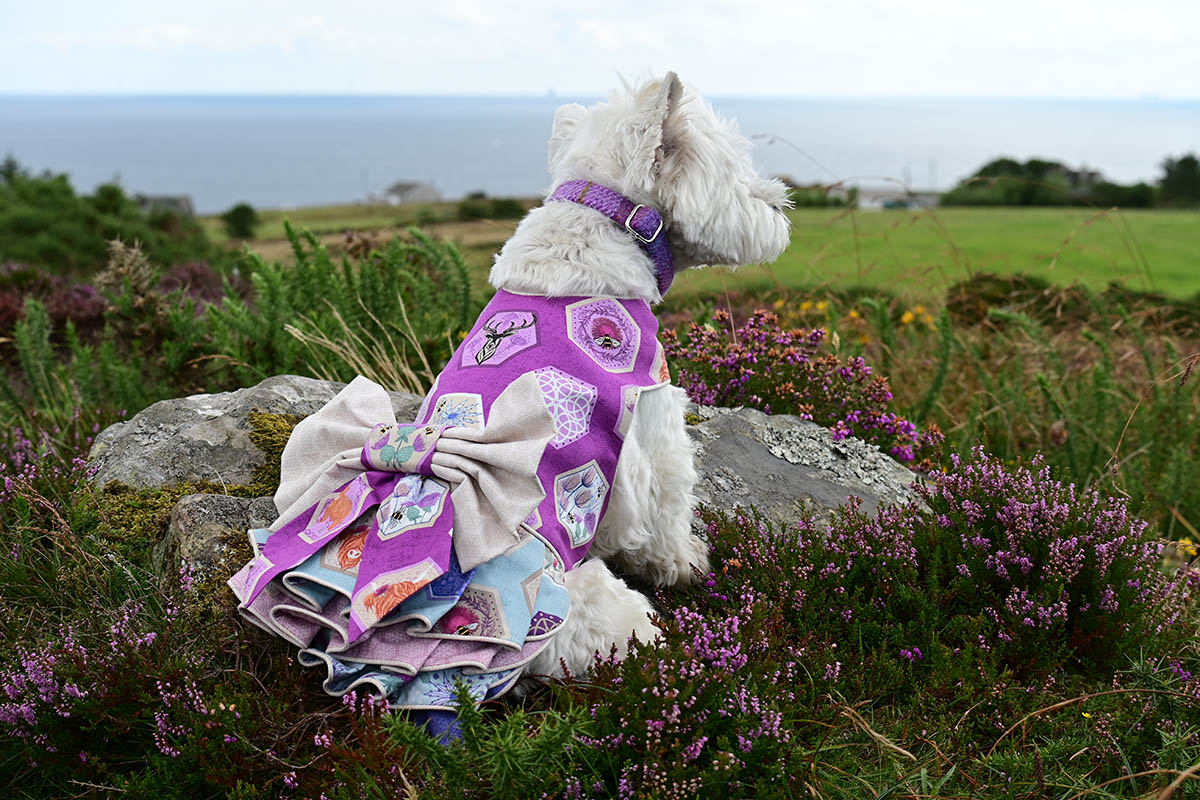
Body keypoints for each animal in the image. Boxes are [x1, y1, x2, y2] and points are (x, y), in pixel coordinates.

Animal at [492, 70, 792, 681]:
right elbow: (670, 509)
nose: (783, 206)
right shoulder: (656, 424)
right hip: (604, 616)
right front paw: (687, 561)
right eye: (734, 169)